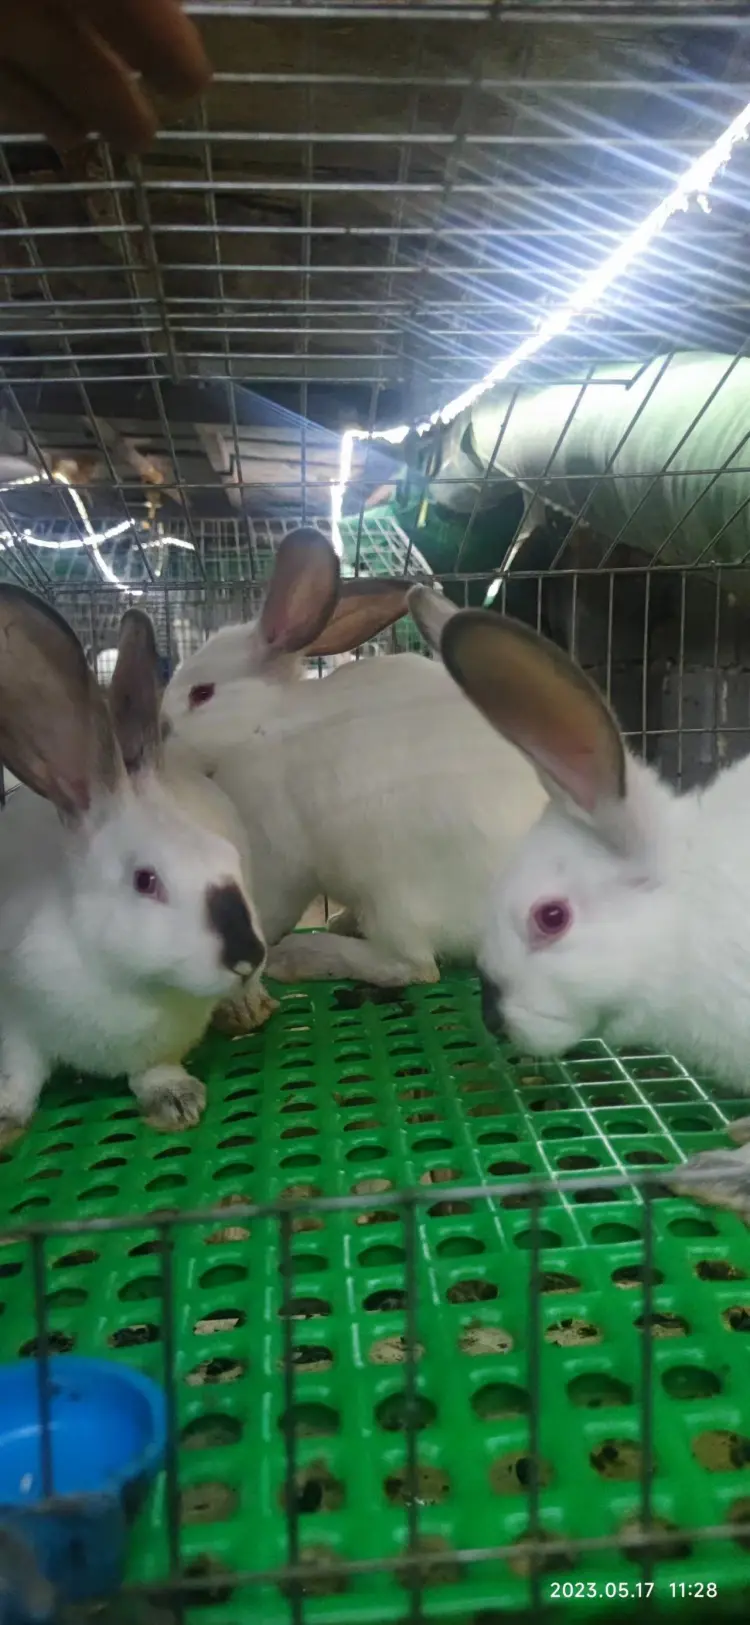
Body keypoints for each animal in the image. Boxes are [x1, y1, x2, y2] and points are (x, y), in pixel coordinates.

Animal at [0, 586, 266, 1146]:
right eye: (145, 880)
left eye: (226, 857)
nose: (246, 956)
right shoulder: (14, 1021)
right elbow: (20, 1075)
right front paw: (5, 1117)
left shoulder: (160, 1044)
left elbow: (153, 1070)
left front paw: (175, 1100)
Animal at [161, 527, 547, 990]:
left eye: (201, 693)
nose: (158, 729)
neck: (260, 726)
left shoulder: (276, 856)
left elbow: (268, 908)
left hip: (394, 894)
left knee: (414, 967)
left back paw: (301, 956)